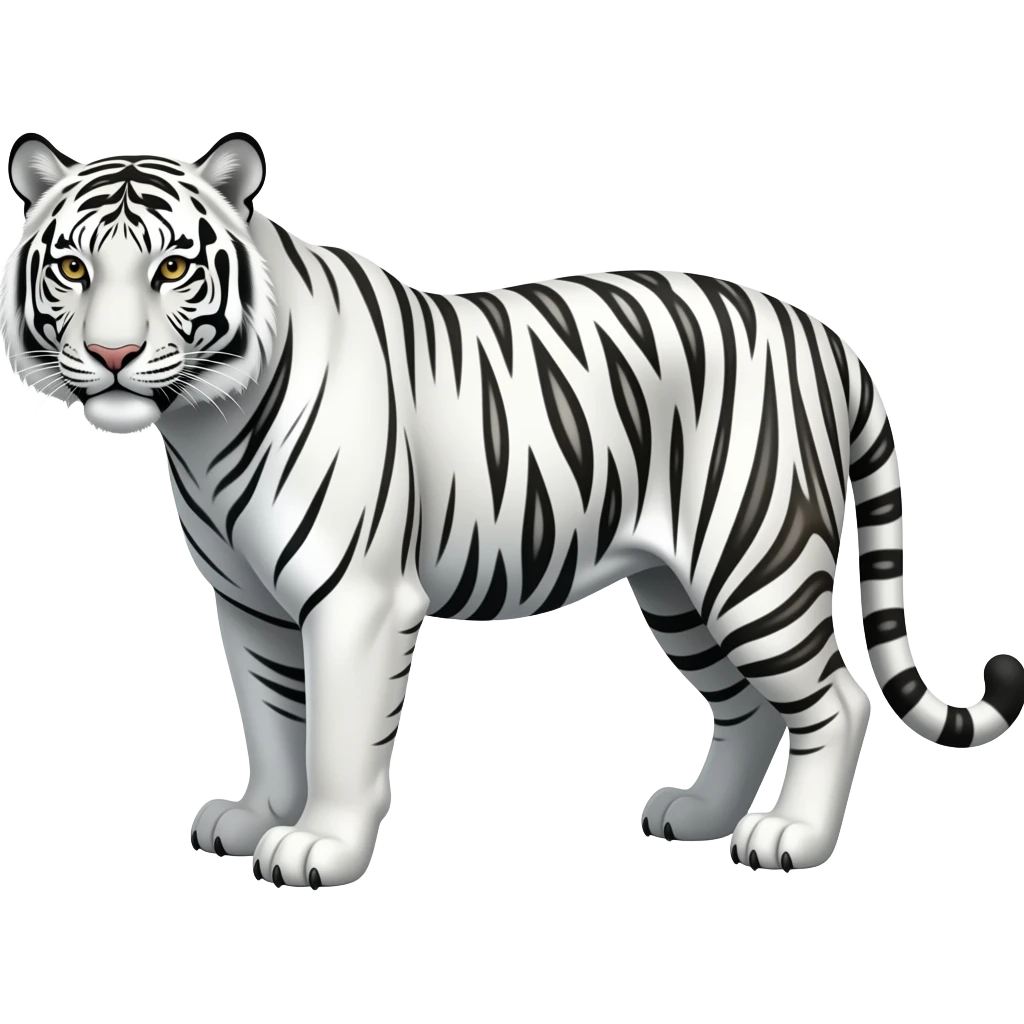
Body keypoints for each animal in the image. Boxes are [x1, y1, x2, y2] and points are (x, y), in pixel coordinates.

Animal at [3, 130, 1022, 889]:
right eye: (71, 269)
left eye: (174, 267)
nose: (115, 356)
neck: (202, 425)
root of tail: (824, 334)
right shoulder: (249, 605)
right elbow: (272, 720)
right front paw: (255, 820)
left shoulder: (356, 602)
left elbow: (335, 735)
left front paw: (319, 848)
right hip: (682, 590)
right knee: (749, 707)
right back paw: (697, 815)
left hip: (754, 562)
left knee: (835, 699)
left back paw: (790, 840)